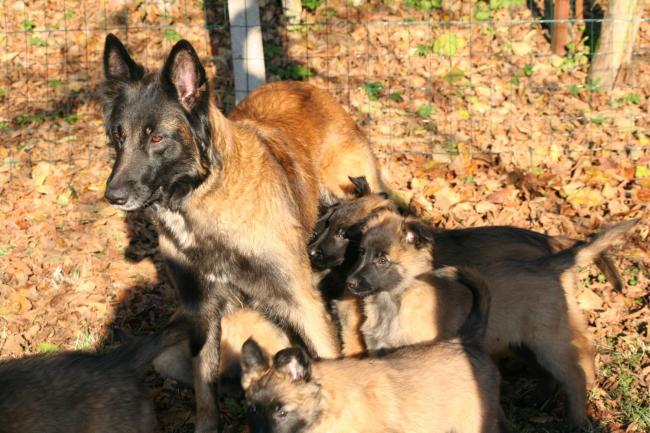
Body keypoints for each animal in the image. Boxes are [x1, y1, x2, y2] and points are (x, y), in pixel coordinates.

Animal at [346, 213, 636, 426]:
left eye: (383, 260)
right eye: (361, 253)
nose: (350, 282)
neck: (395, 301)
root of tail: (546, 264)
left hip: (547, 340)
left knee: (573, 374)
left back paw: (575, 421)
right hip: (520, 343)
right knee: (546, 371)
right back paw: (538, 400)